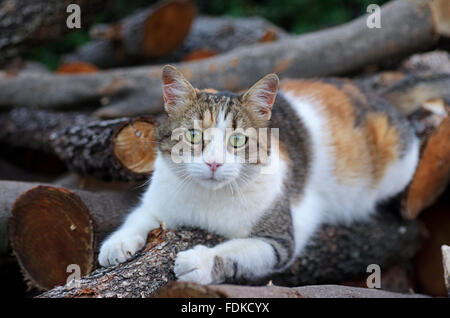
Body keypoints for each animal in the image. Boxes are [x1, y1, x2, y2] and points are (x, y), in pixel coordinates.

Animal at [97, 64, 418, 284]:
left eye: (238, 140)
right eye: (193, 135)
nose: (214, 163)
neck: (207, 200)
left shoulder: (278, 240)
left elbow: (234, 250)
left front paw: (200, 261)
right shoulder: (160, 200)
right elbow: (140, 216)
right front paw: (117, 243)